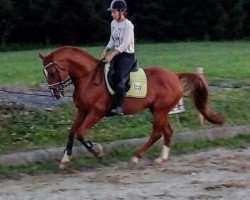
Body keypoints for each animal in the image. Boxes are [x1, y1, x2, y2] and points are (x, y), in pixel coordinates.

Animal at [39, 45, 225, 169]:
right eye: (45, 73)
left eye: (53, 72)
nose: (55, 94)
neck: (88, 78)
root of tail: (175, 75)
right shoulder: (82, 110)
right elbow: (72, 132)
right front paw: (65, 160)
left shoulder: (96, 112)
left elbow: (81, 133)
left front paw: (99, 152)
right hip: (159, 110)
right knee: (167, 132)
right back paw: (161, 158)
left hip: (160, 110)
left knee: (157, 133)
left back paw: (136, 157)